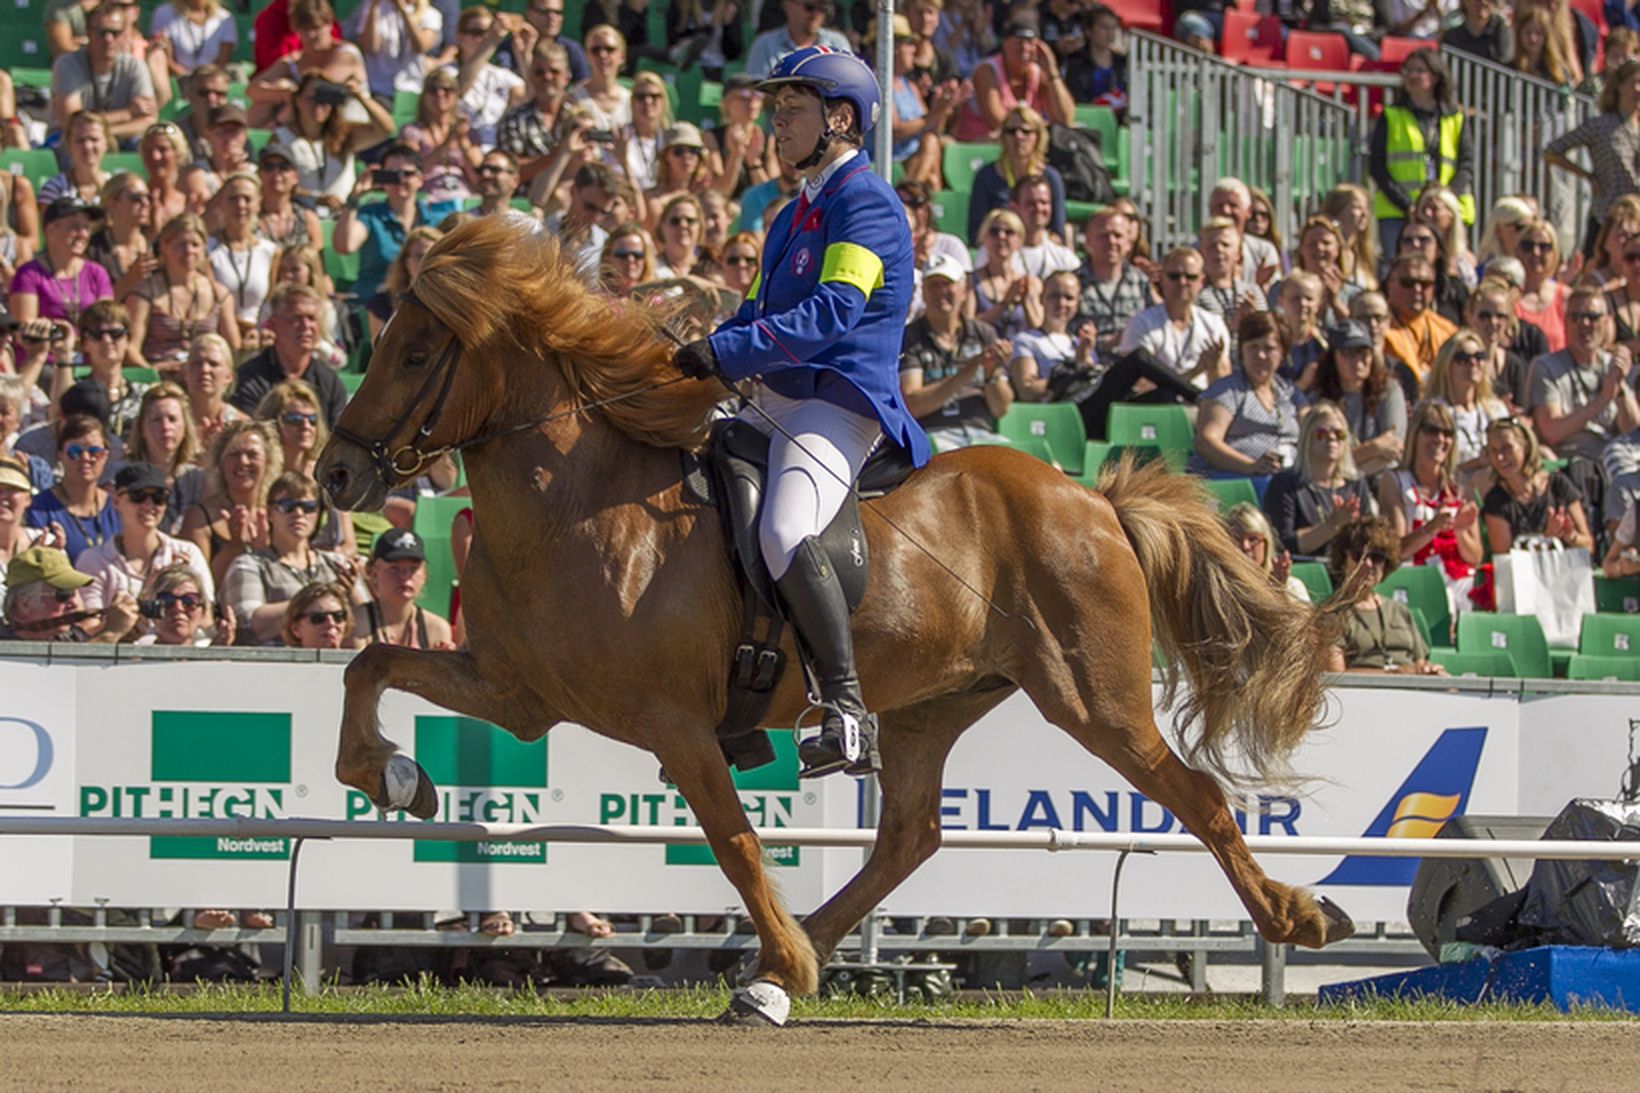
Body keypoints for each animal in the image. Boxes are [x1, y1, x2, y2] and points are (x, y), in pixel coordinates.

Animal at [313, 216, 1351, 1017]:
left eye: (415, 352)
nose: (335, 474)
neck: (577, 502)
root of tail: (1092, 496)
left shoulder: (674, 724)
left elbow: (734, 842)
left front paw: (779, 954)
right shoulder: (518, 692)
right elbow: (370, 662)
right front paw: (393, 775)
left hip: (1094, 699)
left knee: (1198, 795)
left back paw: (1296, 917)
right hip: (933, 703)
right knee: (909, 837)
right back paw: (789, 957)